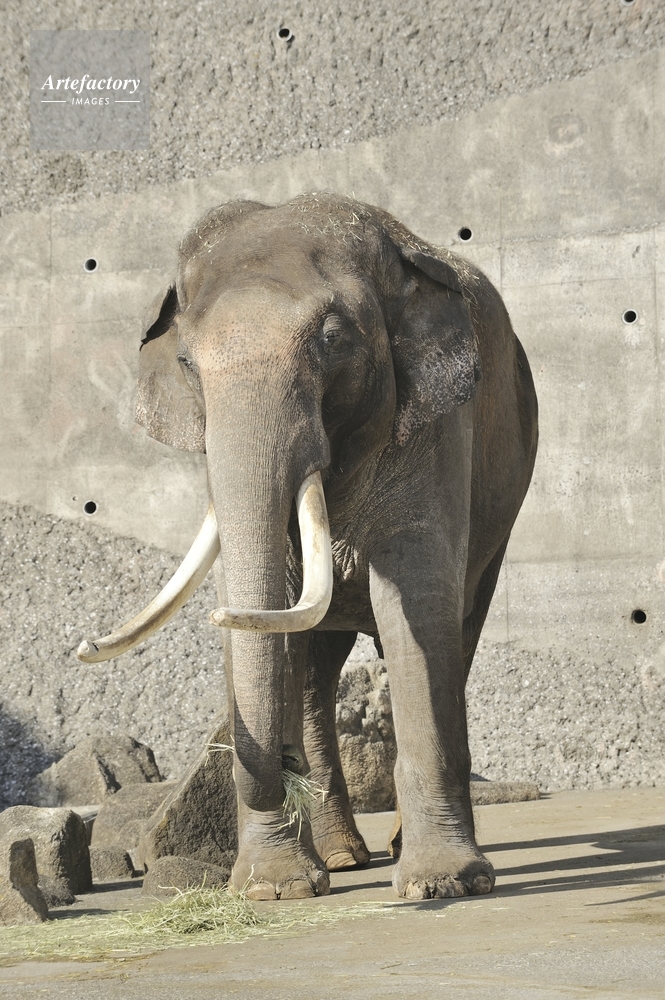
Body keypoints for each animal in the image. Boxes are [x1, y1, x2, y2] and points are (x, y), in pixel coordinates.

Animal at [78, 193, 538, 901]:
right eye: (187, 365)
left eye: (331, 339)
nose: (283, 762)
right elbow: (272, 612)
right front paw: (275, 890)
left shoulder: (433, 424)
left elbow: (415, 599)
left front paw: (442, 884)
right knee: (319, 663)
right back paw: (344, 859)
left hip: (503, 509)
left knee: (459, 628)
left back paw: (395, 851)